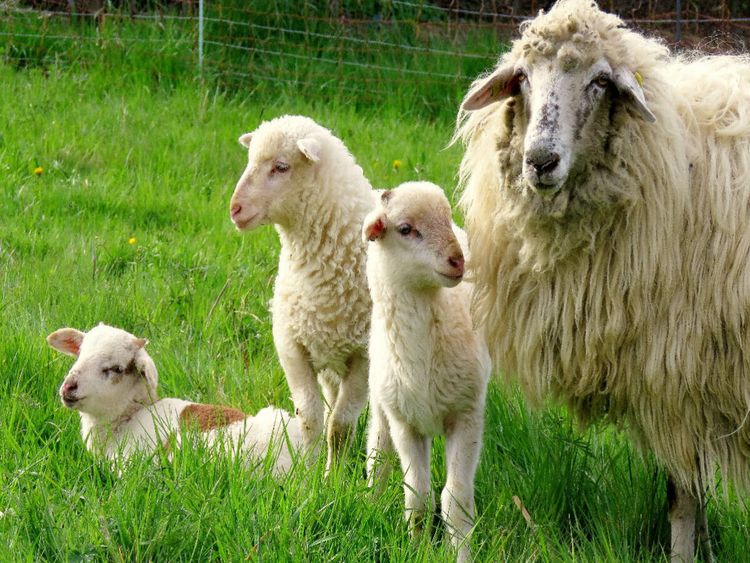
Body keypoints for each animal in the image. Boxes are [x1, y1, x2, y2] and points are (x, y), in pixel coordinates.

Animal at [229, 115, 376, 472]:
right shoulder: (293, 349)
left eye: (281, 167)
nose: (235, 208)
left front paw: (332, 478)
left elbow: (340, 425)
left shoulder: (363, 358)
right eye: (249, 159)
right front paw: (307, 475)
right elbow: (311, 420)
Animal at [363, 182, 491, 562]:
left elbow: (455, 501)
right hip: (382, 400)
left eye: (446, 217)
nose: (458, 260)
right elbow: (417, 497)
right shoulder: (405, 424)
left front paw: (461, 553)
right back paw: (372, 500)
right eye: (406, 229)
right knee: (378, 451)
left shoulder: (465, 415)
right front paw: (417, 549)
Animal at [454, 0, 750, 560]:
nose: (540, 160)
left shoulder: (674, 370)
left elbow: (681, 496)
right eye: (522, 76)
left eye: (599, 81)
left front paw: (683, 553)